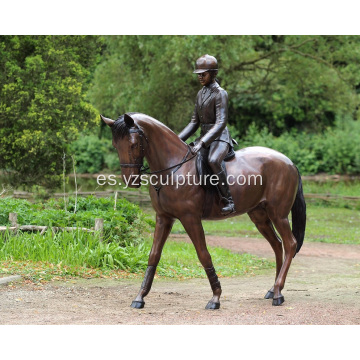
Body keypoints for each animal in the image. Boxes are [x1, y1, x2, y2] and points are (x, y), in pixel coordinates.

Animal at [100, 112, 306, 310]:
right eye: (115, 145)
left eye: (133, 144)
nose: (130, 180)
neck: (174, 167)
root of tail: (289, 162)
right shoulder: (164, 218)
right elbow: (154, 255)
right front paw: (140, 297)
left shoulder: (190, 218)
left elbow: (203, 254)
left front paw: (216, 297)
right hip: (259, 216)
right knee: (277, 245)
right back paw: (273, 289)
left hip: (278, 215)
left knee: (290, 244)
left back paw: (278, 293)